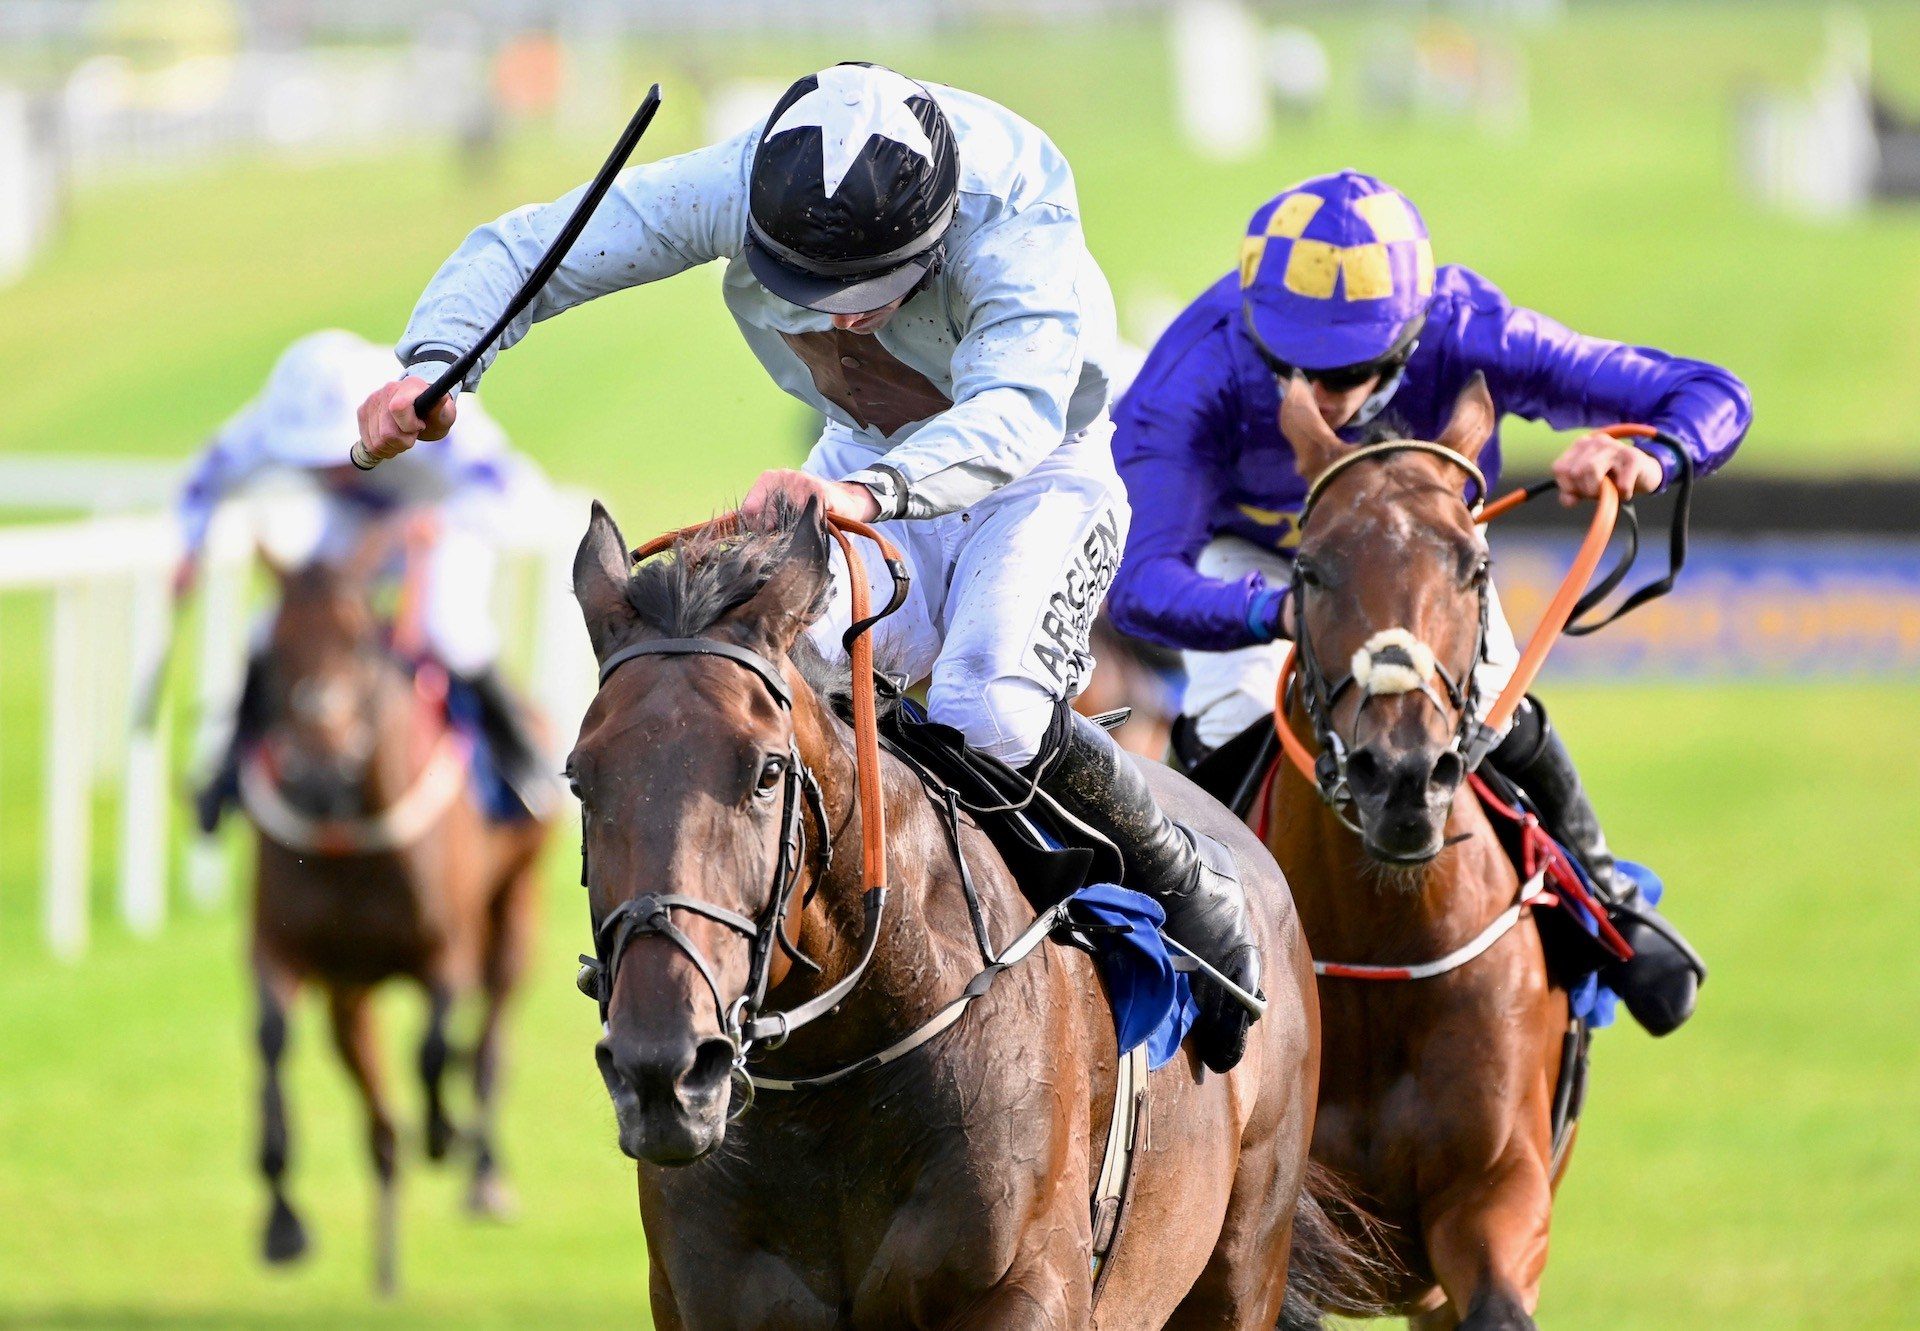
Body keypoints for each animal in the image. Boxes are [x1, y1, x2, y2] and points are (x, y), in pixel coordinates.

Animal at [568, 503, 1367, 1321]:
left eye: (766, 771)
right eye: (578, 777)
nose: (662, 1071)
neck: (834, 1073)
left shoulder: (1026, 1282)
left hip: (1246, 1261)